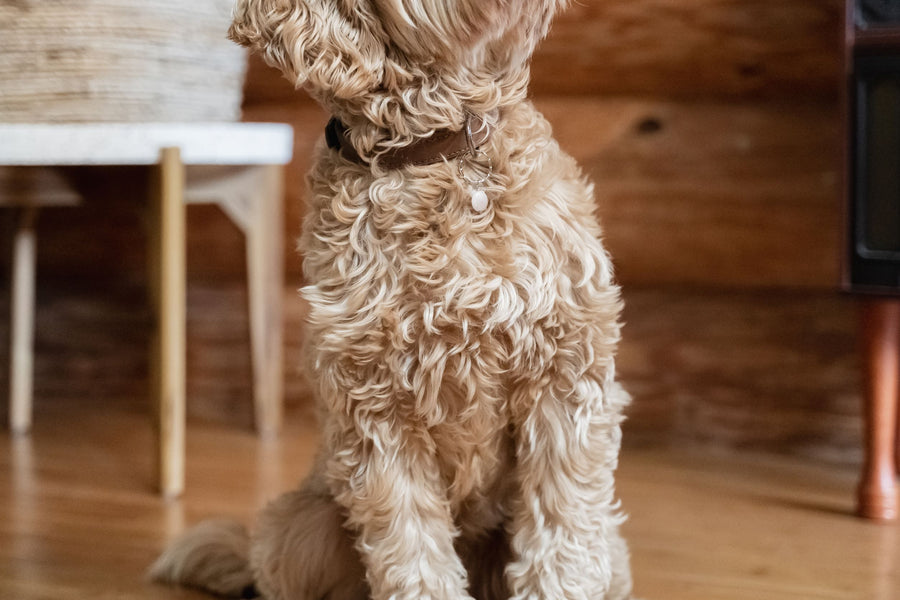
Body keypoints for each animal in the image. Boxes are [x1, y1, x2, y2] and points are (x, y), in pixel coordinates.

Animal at [151, 1, 632, 600]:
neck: (437, 157)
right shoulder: (374, 406)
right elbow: (410, 547)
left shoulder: (566, 372)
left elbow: (562, 529)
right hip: (300, 530)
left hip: (611, 548)